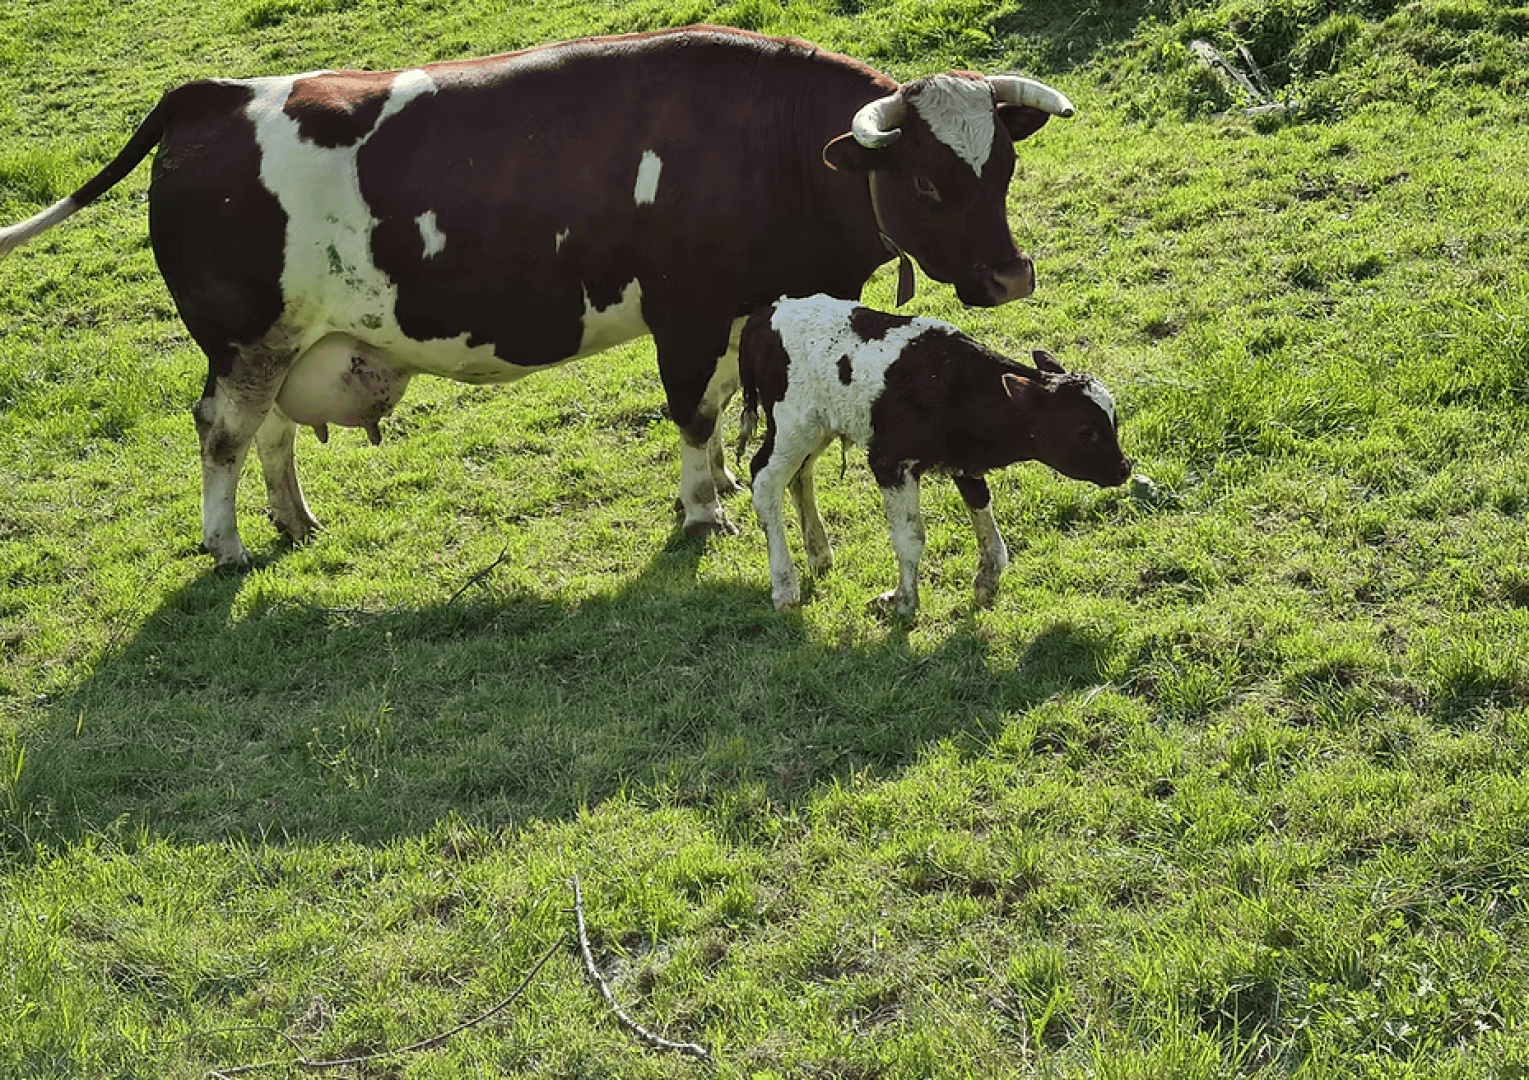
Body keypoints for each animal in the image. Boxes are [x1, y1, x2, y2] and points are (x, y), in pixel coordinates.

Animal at [0, 25, 1076, 570]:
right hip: (242, 339)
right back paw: (224, 542)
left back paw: (294, 521)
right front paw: (704, 509)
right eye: (929, 182)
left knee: (267, 432)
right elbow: (694, 413)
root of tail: (212, 93)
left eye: (1001, 167)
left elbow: (726, 405)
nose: (1009, 276)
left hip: (290, 341)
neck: (767, 144)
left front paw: (723, 485)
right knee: (222, 432)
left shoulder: (745, 316)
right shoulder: (686, 313)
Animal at [736, 295, 1131, 615]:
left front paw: (987, 582)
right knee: (764, 480)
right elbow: (910, 539)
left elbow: (985, 519)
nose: (1124, 468)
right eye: (1086, 432)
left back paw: (819, 553)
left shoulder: (965, 462)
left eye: (1113, 421)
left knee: (800, 476)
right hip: (791, 426)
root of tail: (766, 313)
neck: (950, 384)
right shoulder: (889, 463)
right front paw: (902, 600)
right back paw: (785, 585)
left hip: (817, 430)